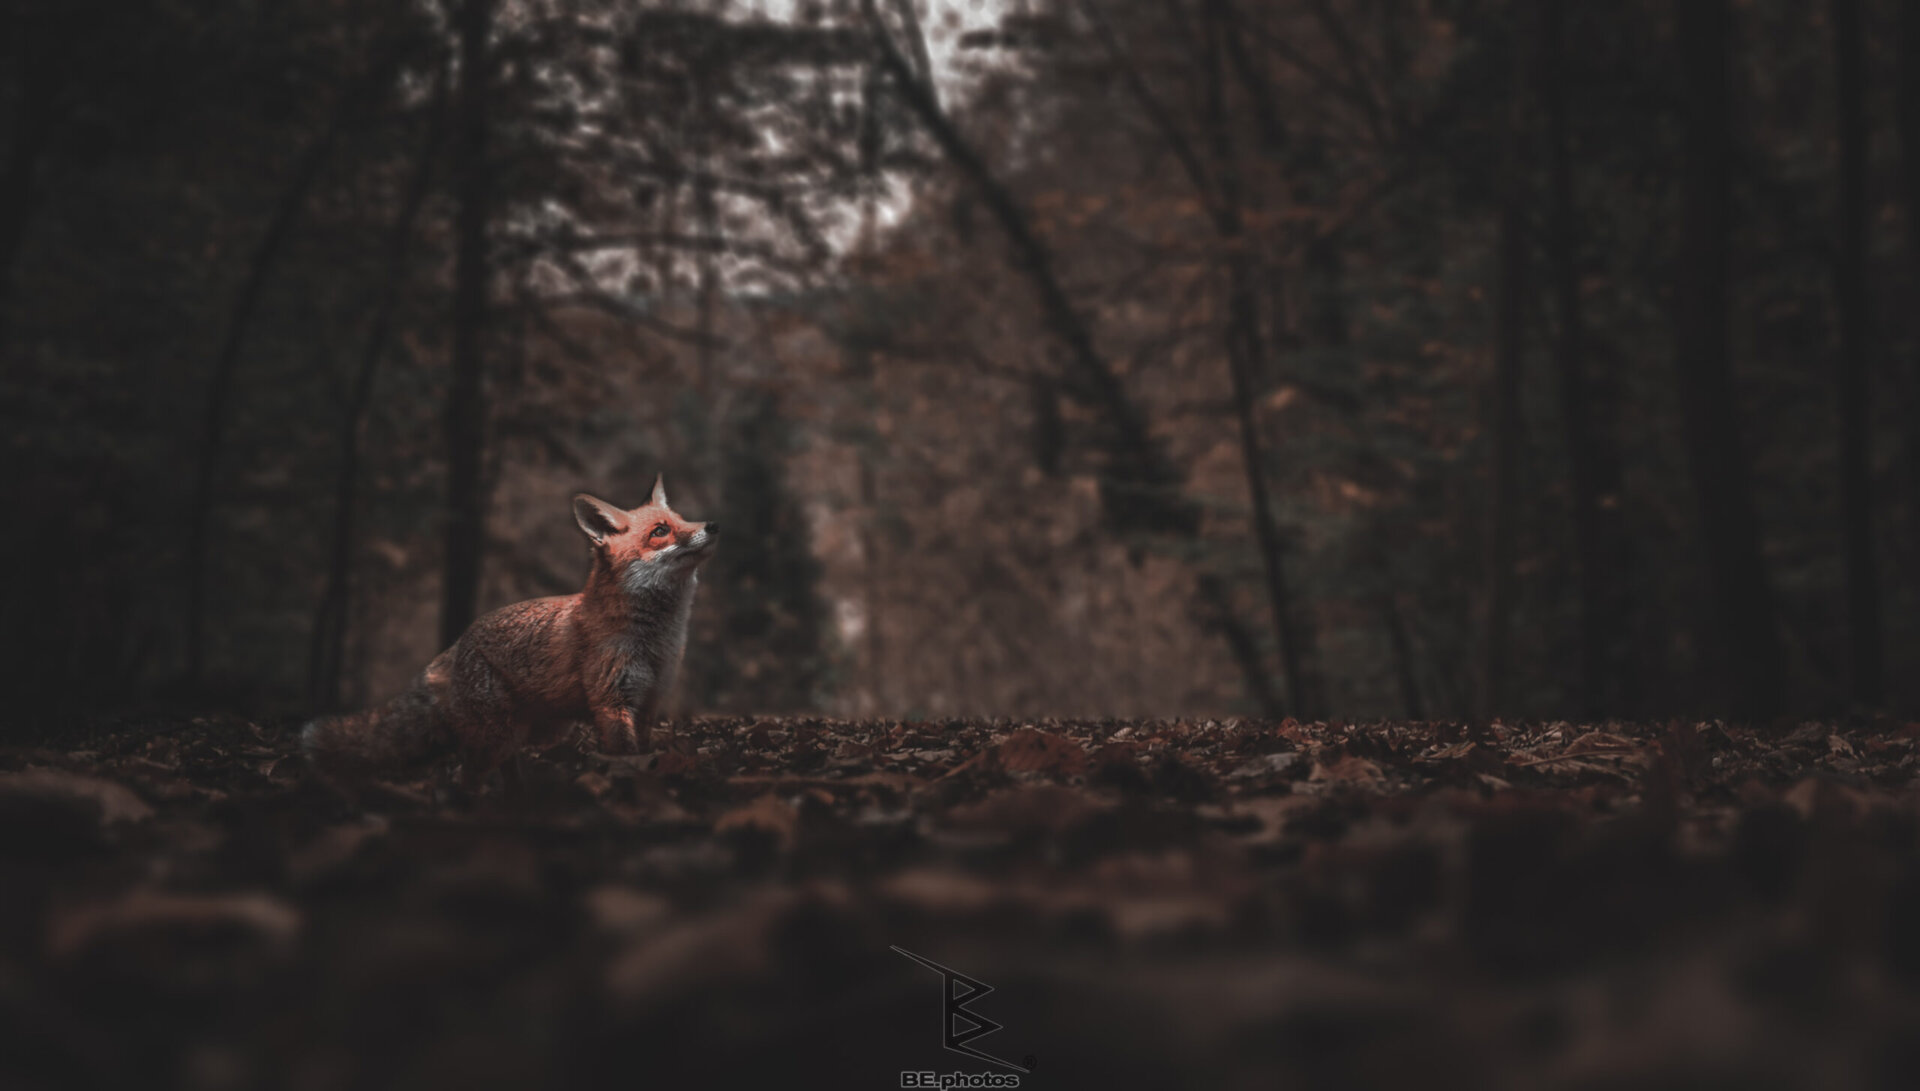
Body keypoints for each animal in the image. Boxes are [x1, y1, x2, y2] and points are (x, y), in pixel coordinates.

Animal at [302, 476, 717, 786]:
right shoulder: (612, 702)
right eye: (660, 531)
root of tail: (456, 644)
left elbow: (643, 754)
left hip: (534, 732)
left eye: (683, 519)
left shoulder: (649, 700)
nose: (712, 525)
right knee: (465, 777)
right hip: (498, 738)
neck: (655, 640)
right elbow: (625, 758)